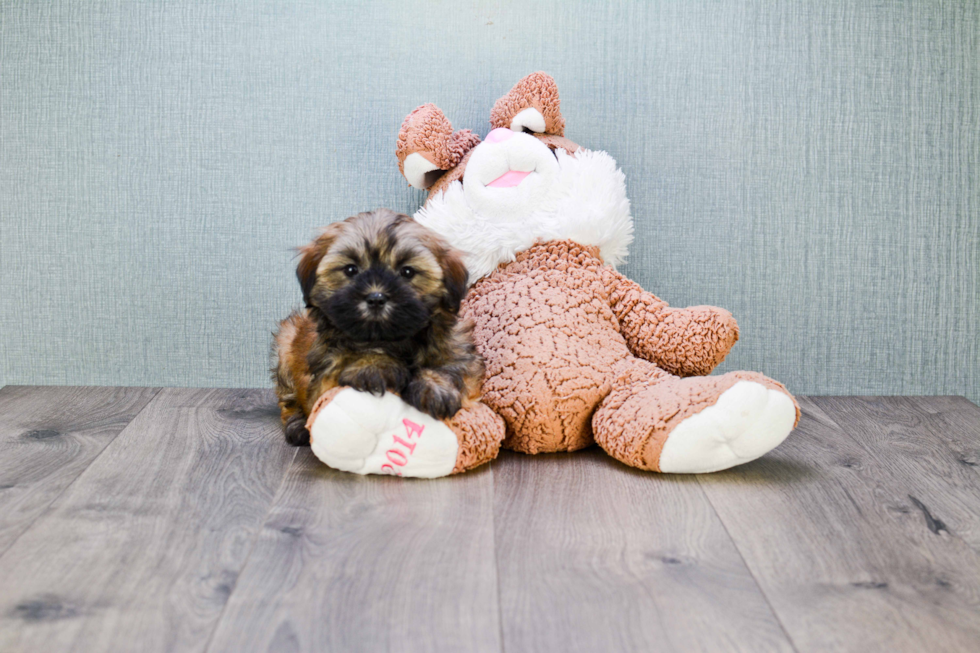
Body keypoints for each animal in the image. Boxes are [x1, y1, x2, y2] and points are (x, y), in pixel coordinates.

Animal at [270, 211, 484, 446]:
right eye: (351, 269)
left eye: (407, 271)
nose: (376, 298)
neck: (392, 340)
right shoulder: (324, 380)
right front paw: (373, 365)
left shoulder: (461, 355)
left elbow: (455, 369)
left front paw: (435, 386)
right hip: (286, 344)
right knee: (288, 401)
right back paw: (297, 425)